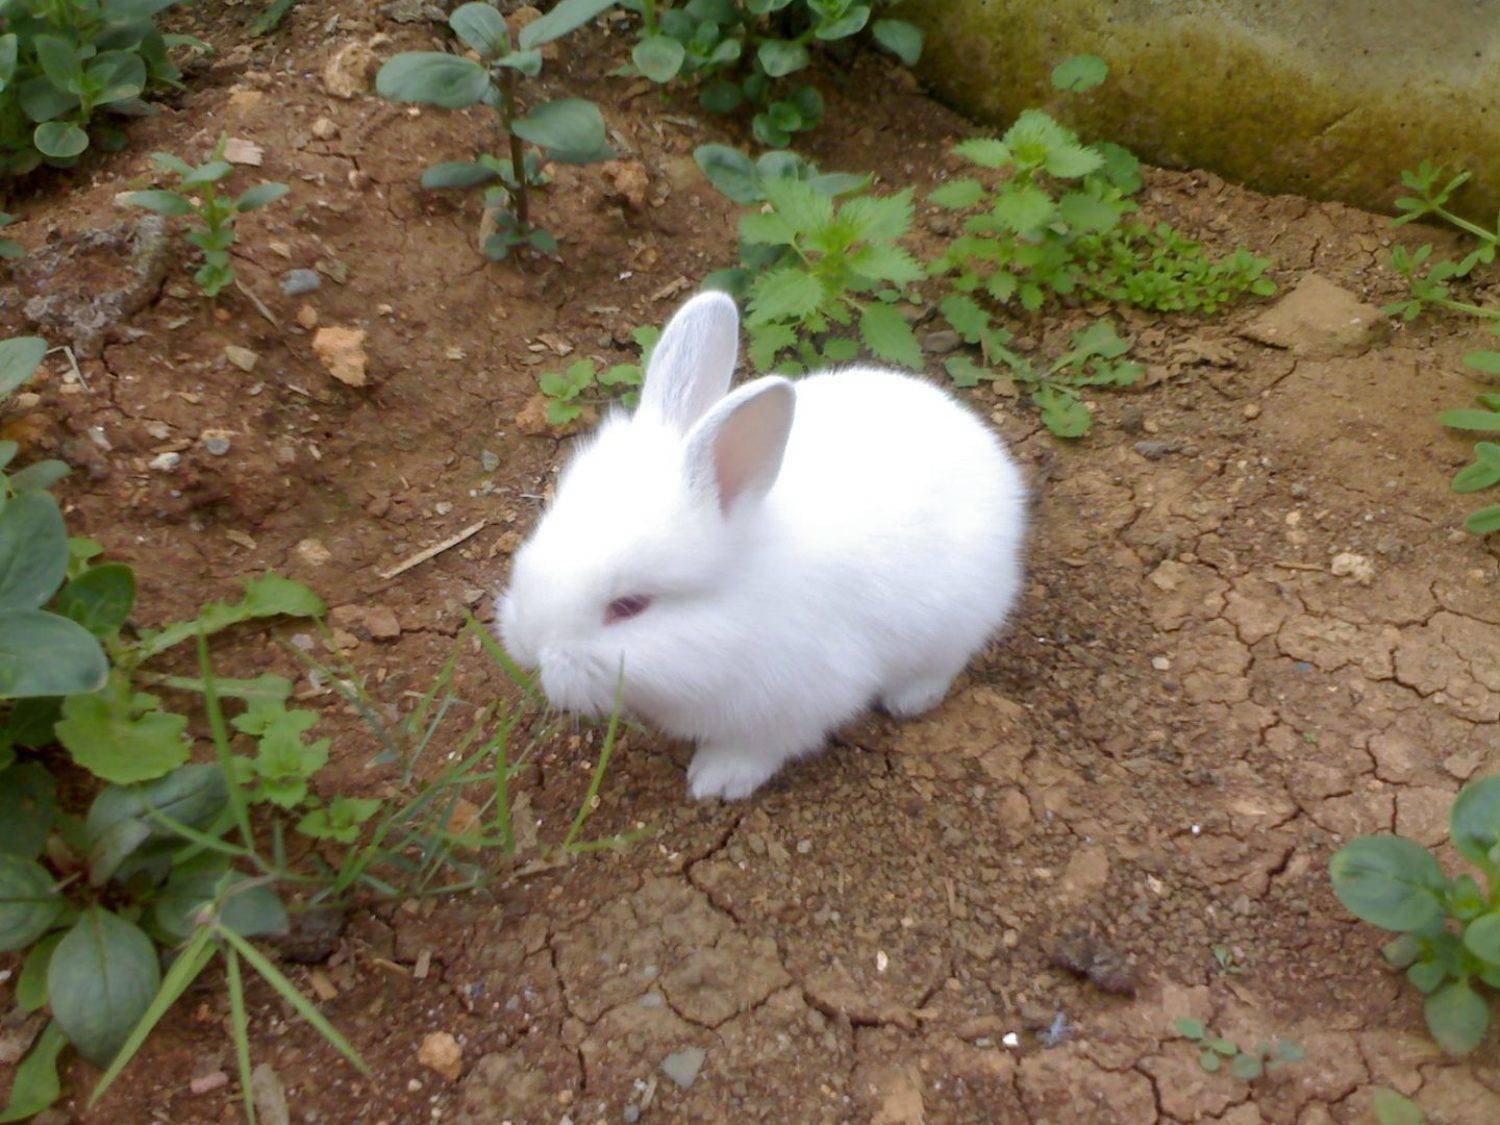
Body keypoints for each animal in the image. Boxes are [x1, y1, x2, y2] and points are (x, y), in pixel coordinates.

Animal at [498, 291, 1028, 800]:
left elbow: (759, 747)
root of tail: (989, 452)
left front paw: (716, 780)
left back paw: (909, 699)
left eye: (629, 606)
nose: (527, 648)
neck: (737, 615)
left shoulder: (798, 700)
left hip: (957, 618)